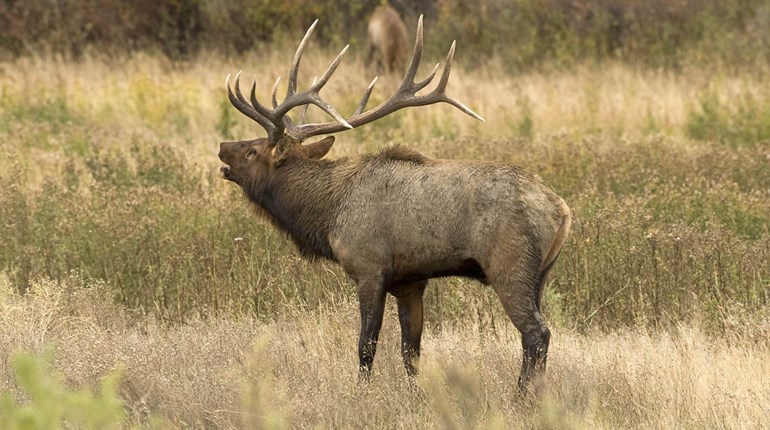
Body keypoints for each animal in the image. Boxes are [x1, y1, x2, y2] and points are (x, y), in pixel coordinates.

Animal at [219, 16, 572, 393]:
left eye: (253, 150)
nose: (222, 147)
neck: (328, 215)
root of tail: (562, 211)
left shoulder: (370, 268)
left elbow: (366, 344)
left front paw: (362, 392)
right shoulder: (410, 281)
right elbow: (411, 350)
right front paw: (415, 394)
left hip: (509, 264)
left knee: (536, 333)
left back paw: (521, 396)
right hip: (542, 274)